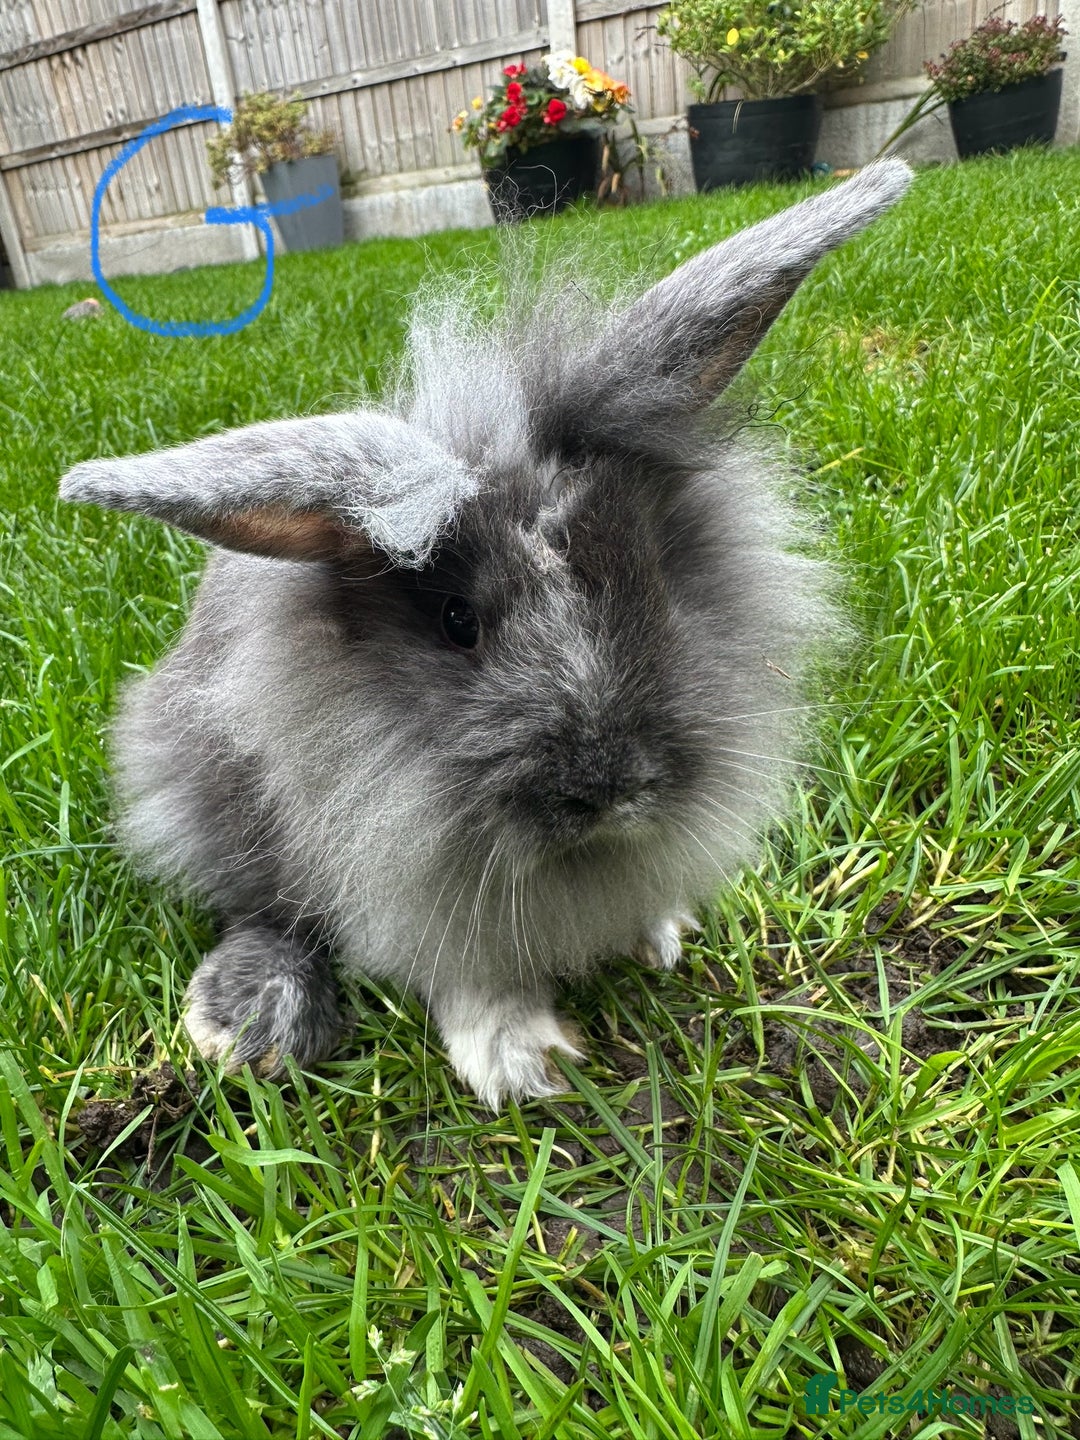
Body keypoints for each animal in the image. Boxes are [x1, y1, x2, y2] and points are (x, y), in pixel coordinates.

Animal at [61, 159, 912, 1109]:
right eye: (456, 622)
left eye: (654, 575)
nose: (610, 789)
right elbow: (469, 972)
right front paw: (523, 1065)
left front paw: (659, 935)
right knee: (263, 907)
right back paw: (252, 1025)